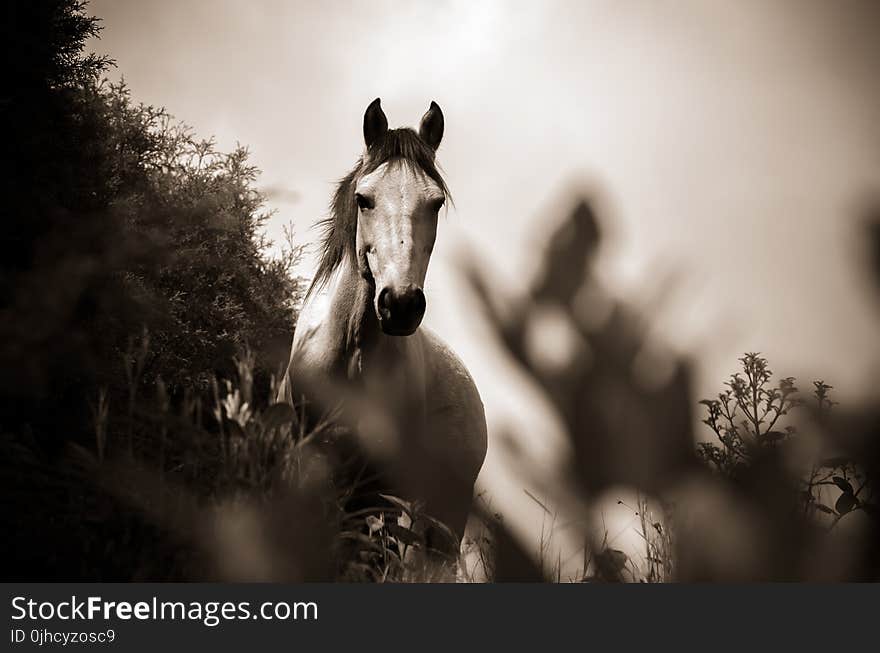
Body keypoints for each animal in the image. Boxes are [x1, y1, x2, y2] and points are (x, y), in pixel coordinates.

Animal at [278, 99, 488, 552]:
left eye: (436, 203)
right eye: (364, 199)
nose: (401, 305)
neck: (350, 353)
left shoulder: (376, 488)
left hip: (440, 519)